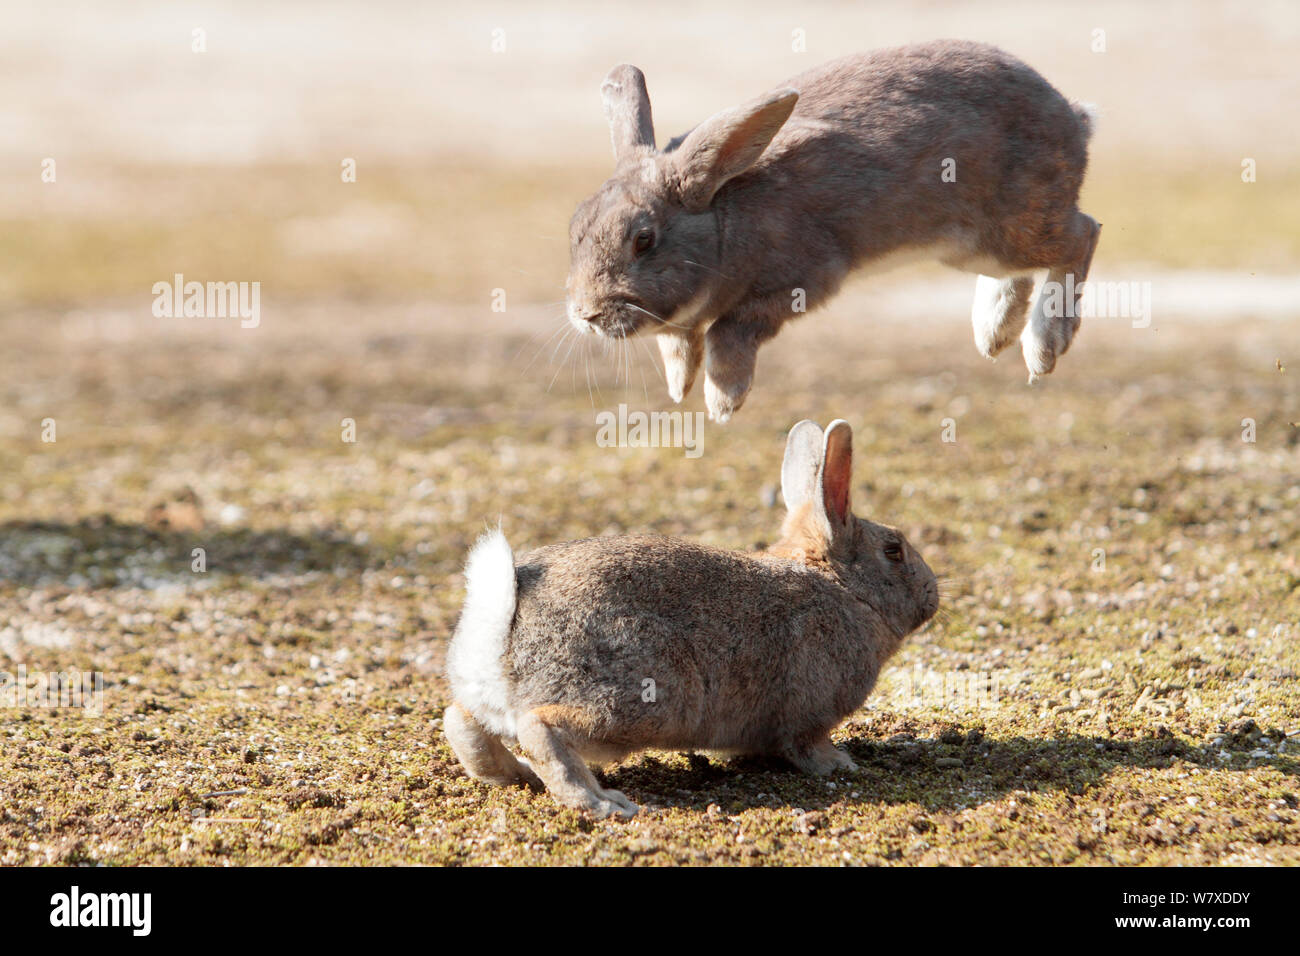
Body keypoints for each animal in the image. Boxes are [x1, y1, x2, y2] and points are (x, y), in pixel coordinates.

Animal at [444, 419, 939, 818]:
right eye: (894, 551)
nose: (933, 596)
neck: (844, 588)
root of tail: (501, 622)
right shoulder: (809, 717)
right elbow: (807, 746)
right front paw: (840, 765)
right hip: (639, 700)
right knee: (539, 727)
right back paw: (604, 803)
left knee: (463, 723)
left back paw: (521, 775)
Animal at [564, 39, 1101, 422]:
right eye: (575, 228)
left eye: (644, 239)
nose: (587, 314)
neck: (722, 219)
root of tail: (1074, 118)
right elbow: (679, 342)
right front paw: (679, 387)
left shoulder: (803, 280)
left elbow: (728, 331)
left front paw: (723, 401)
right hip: (974, 249)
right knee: (1021, 271)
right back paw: (993, 332)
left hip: (1010, 228)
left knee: (1082, 234)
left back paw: (1045, 345)